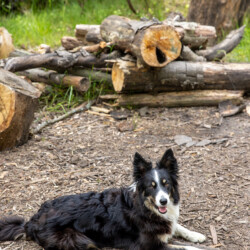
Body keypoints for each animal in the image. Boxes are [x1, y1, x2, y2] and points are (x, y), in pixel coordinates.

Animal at [0, 149, 205, 249]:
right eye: (151, 186)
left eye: (165, 184)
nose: (163, 201)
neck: (145, 206)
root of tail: (30, 222)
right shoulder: (150, 245)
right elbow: (184, 248)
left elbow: (177, 226)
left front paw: (196, 235)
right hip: (79, 239)